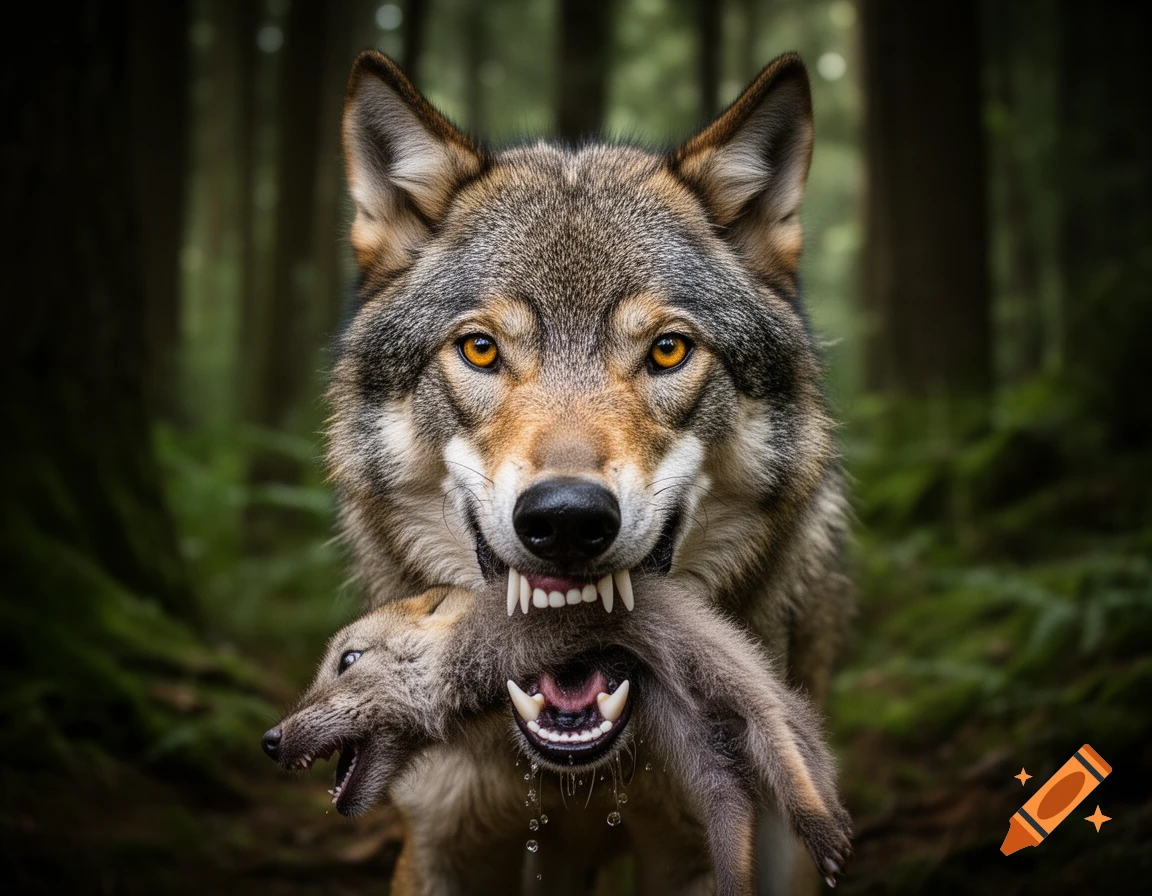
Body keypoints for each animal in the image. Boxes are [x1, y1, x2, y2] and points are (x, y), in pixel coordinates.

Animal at [262, 580, 851, 895]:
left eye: (349, 659)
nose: (270, 739)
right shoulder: (682, 718)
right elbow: (730, 790)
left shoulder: (689, 653)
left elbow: (766, 720)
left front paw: (818, 826)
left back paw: (820, 824)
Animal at [326, 49, 853, 894]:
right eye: (481, 349)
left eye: (667, 350)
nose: (567, 518)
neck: (576, 776)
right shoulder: (441, 844)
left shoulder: (708, 849)